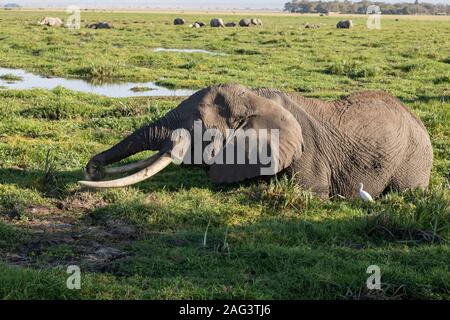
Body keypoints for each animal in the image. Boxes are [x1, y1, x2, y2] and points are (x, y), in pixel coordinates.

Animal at [81, 84, 432, 201]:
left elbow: (312, 192)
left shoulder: (307, 153)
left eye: (196, 122)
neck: (255, 98)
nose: (92, 169)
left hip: (413, 159)